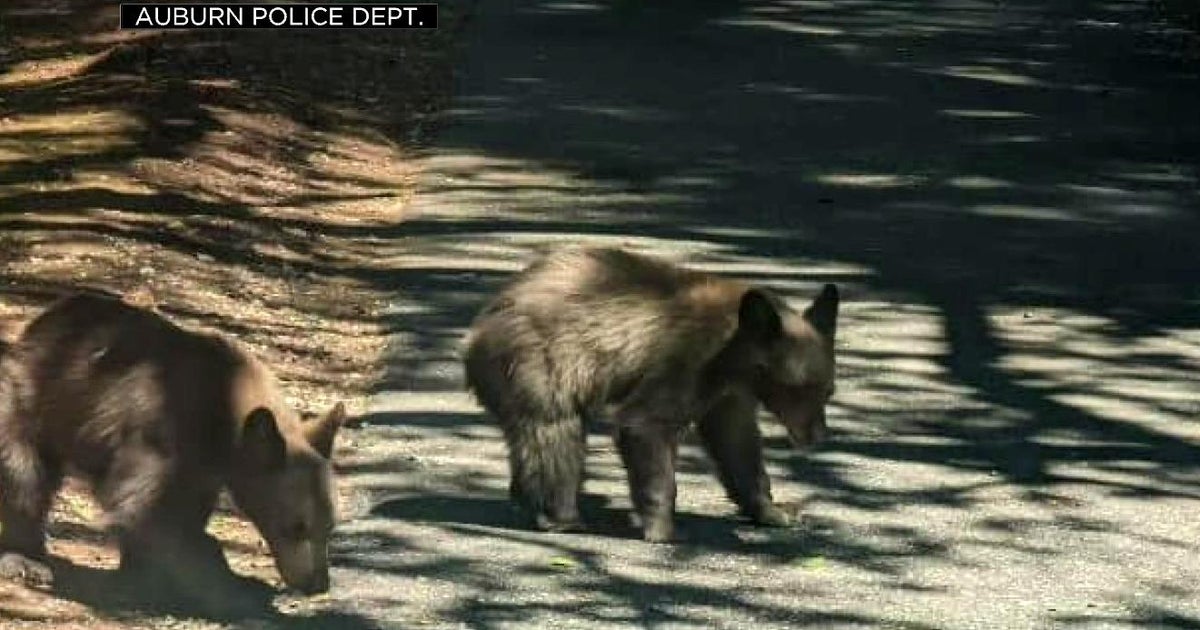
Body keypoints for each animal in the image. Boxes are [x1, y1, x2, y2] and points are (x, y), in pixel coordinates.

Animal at [0, 292, 347, 608]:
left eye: (330, 526)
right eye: (296, 527)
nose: (318, 584)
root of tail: (37, 323)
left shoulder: (203, 469)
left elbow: (184, 515)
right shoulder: (159, 434)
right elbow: (143, 510)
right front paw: (228, 588)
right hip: (29, 402)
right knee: (25, 474)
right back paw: (26, 560)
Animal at [463, 246, 839, 542]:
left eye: (827, 390)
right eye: (799, 388)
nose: (817, 436)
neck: (735, 354)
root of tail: (475, 333)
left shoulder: (730, 394)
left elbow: (737, 443)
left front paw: (774, 512)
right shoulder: (686, 360)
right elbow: (644, 424)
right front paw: (664, 529)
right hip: (539, 363)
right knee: (554, 433)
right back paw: (562, 516)